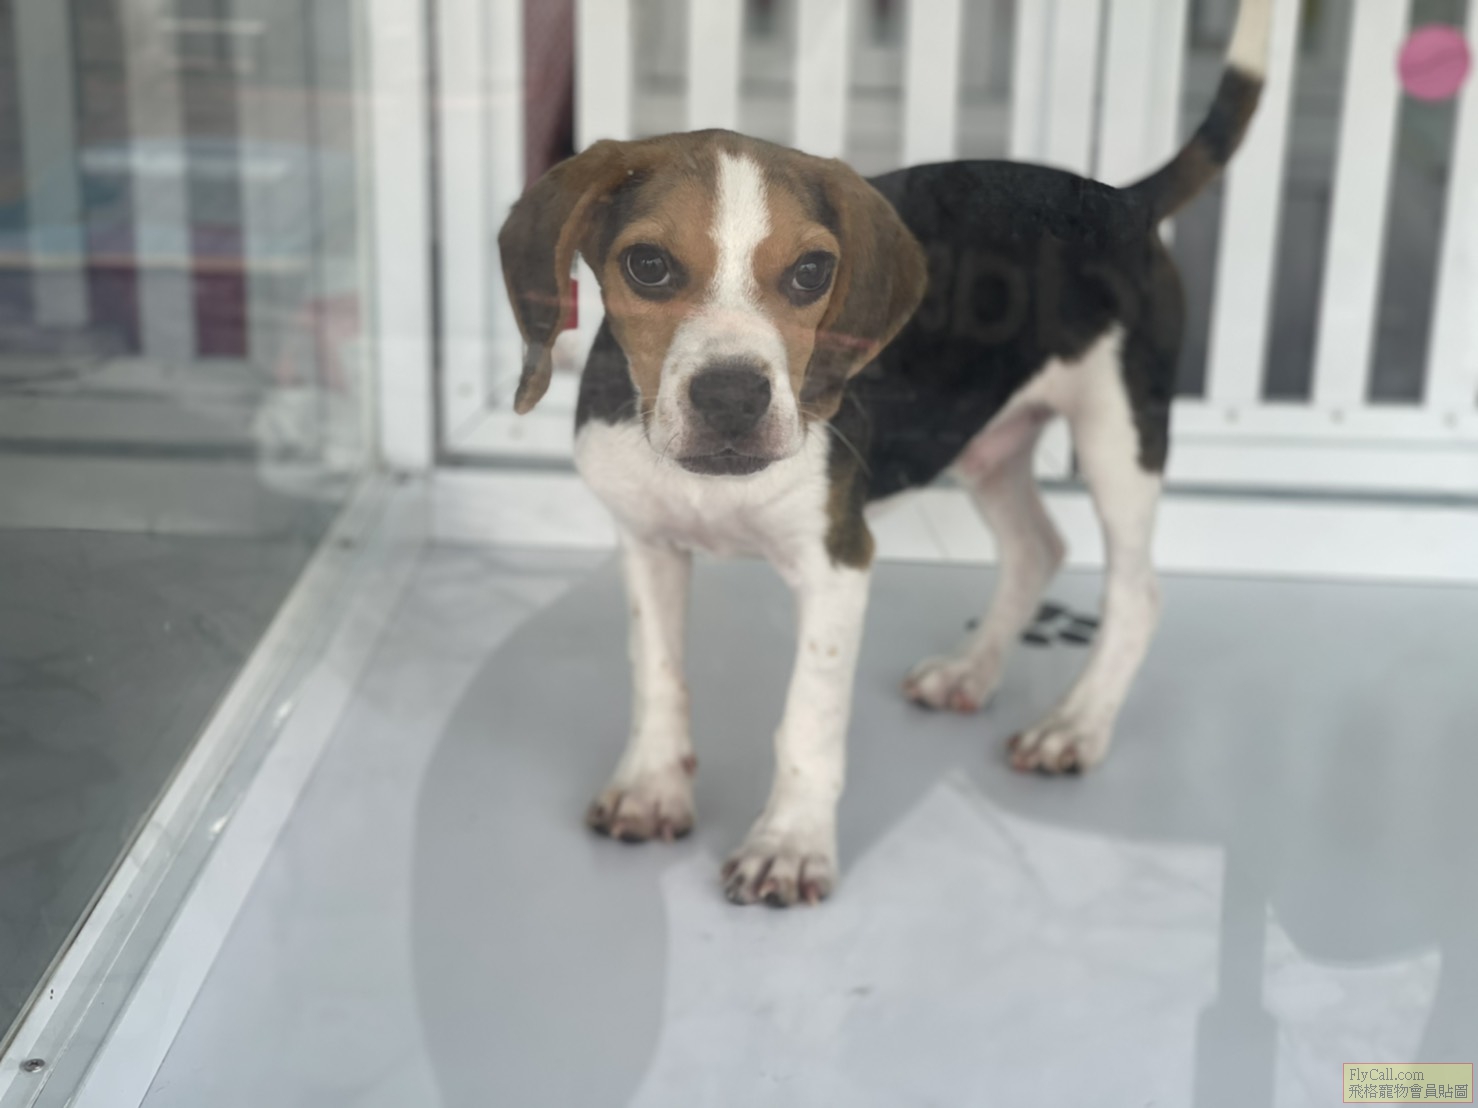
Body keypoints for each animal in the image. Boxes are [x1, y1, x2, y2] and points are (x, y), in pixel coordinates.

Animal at [498, 0, 1271, 907]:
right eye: (647, 266)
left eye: (810, 273)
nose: (732, 398)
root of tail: (1124, 201)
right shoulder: (647, 543)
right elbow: (657, 675)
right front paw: (653, 788)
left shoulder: (838, 563)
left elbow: (807, 719)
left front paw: (789, 846)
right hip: (978, 438)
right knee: (1038, 547)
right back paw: (972, 670)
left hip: (1121, 430)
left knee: (1137, 594)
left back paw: (1076, 725)